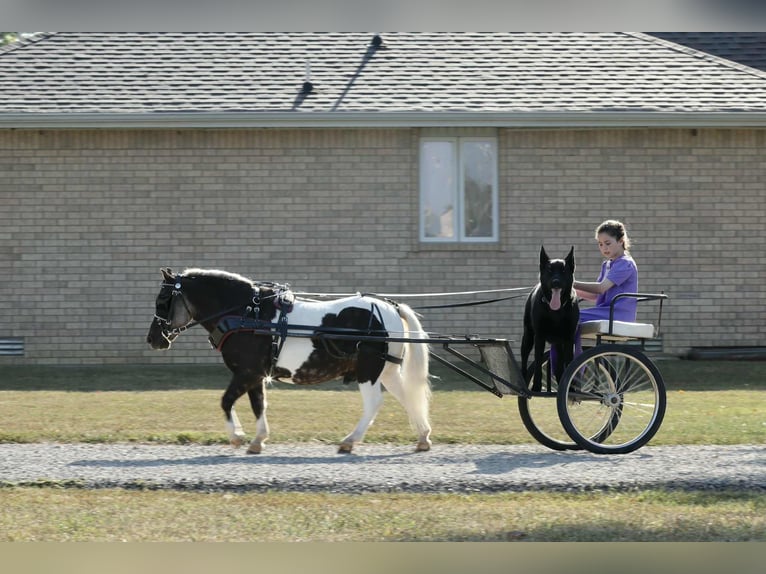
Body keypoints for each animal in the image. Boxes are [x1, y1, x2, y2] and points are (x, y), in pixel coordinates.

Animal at [146, 267, 432, 454]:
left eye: (162, 300)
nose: (153, 339)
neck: (247, 313)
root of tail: (391, 307)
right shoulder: (256, 375)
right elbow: (258, 405)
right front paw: (258, 440)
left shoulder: (247, 372)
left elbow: (226, 401)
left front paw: (237, 436)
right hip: (387, 370)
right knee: (406, 396)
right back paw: (423, 437)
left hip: (368, 371)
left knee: (374, 403)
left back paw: (350, 440)